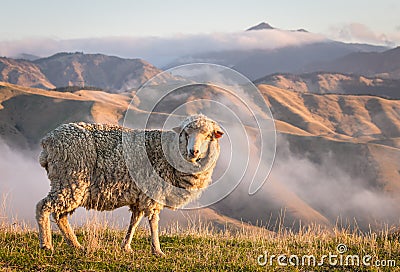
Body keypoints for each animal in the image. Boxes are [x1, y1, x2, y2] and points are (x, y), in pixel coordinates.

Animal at [36, 113, 223, 256]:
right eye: (185, 134)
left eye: (209, 136)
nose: (194, 152)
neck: (170, 152)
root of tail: (47, 141)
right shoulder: (154, 193)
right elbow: (153, 222)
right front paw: (157, 250)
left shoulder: (140, 196)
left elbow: (134, 222)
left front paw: (126, 246)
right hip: (71, 180)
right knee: (43, 206)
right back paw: (46, 245)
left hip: (70, 185)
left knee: (60, 216)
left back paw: (76, 245)